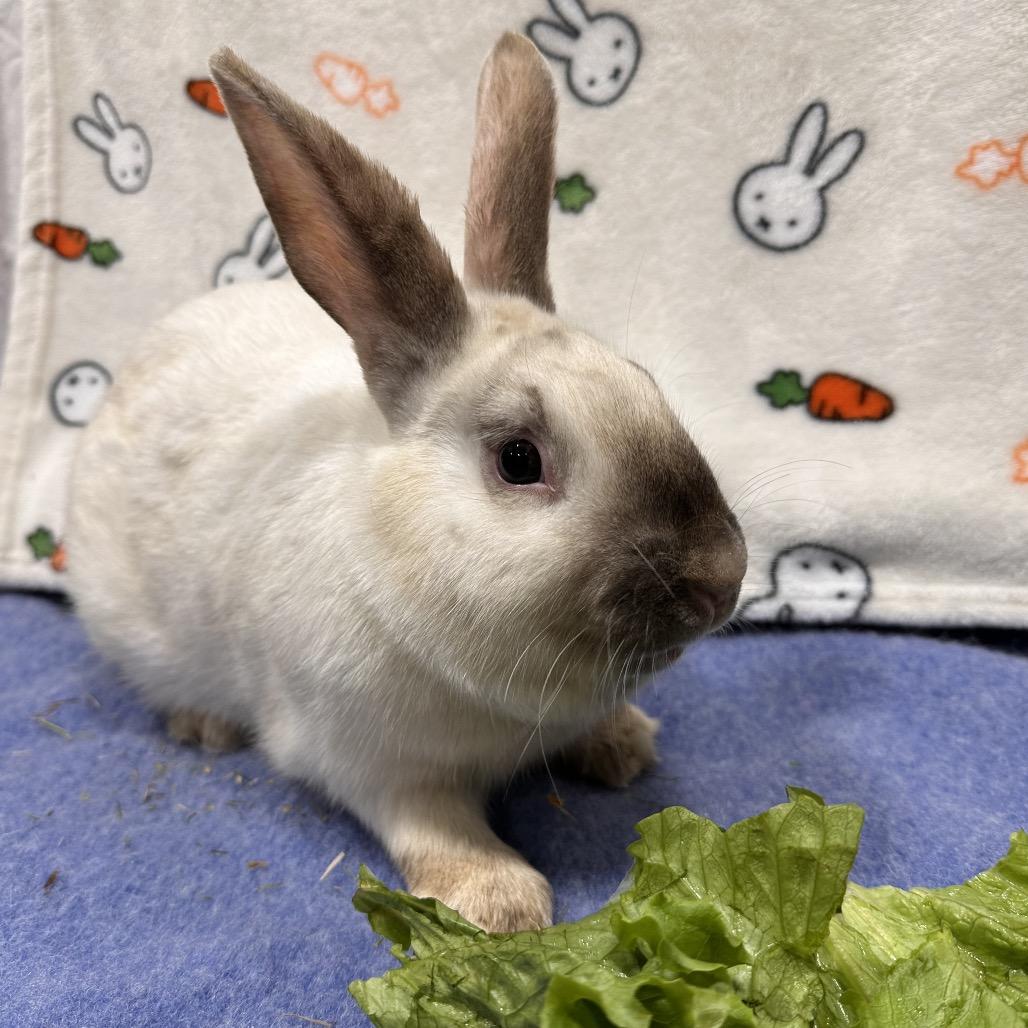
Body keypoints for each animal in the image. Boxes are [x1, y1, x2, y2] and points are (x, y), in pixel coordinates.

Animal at [66, 34, 746, 933]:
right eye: (518, 459)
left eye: (646, 384)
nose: (722, 581)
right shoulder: (370, 762)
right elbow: (434, 822)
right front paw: (499, 903)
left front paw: (624, 747)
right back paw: (203, 724)